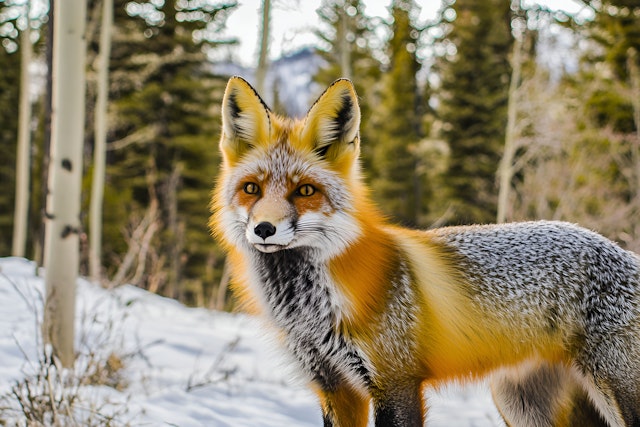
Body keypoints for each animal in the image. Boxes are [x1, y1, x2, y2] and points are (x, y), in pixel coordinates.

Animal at [210, 77, 640, 427]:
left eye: (304, 191)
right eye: (251, 189)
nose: (264, 229)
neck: (313, 309)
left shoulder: (395, 383)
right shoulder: (334, 386)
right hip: (521, 404)